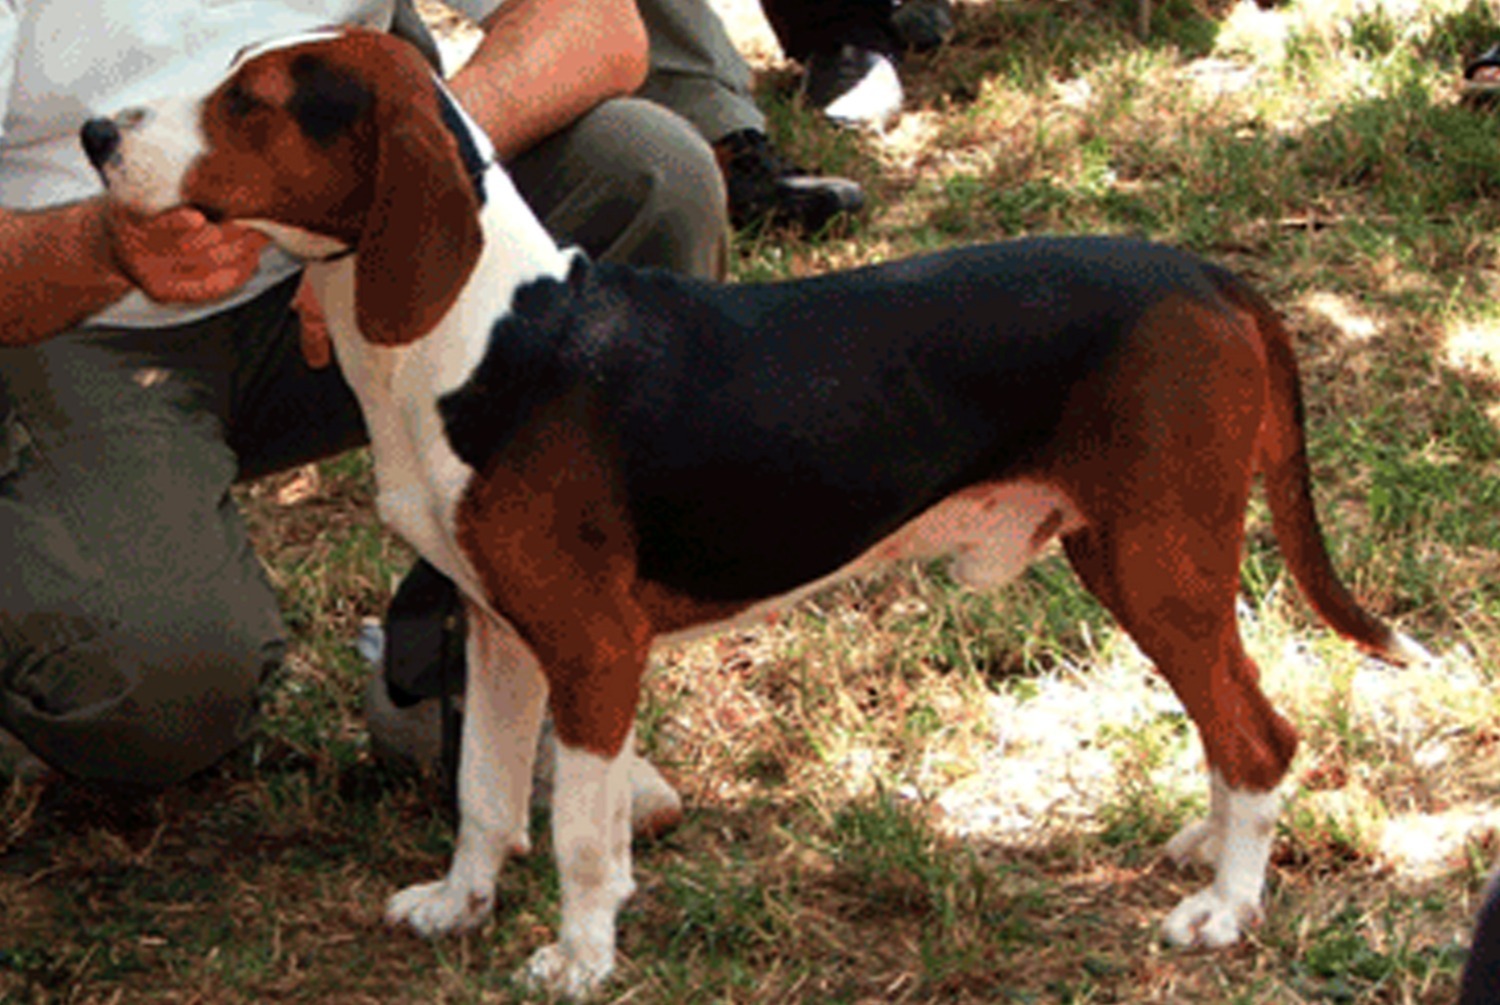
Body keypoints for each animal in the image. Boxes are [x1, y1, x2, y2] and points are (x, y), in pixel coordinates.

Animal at [81, 28, 1423, 996]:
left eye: (253, 102)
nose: (94, 133)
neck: (482, 334)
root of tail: (1209, 274)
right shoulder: (499, 634)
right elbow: (483, 797)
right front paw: (460, 907)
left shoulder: (593, 652)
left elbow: (578, 834)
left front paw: (579, 959)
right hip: (1132, 557)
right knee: (1230, 728)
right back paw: (1210, 846)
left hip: (1160, 559)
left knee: (1260, 734)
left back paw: (1225, 908)